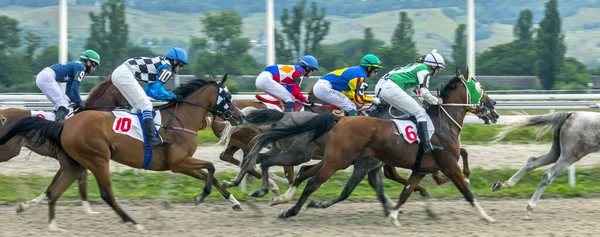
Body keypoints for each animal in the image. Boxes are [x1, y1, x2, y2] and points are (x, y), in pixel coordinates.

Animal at [0, 75, 246, 231]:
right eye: (227, 96)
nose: (240, 116)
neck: (181, 119)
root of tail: (64, 124)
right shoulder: (179, 162)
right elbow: (211, 168)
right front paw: (201, 196)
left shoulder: (181, 163)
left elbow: (210, 175)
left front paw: (234, 201)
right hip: (97, 159)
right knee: (106, 194)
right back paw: (133, 223)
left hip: (74, 163)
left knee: (55, 191)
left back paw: (53, 226)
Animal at [248, 68, 496, 226]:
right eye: (479, 86)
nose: (493, 107)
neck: (441, 125)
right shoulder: (445, 165)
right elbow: (464, 189)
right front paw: (484, 214)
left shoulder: (400, 167)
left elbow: (402, 190)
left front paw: (397, 212)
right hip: (319, 157)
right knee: (301, 176)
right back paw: (283, 204)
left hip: (329, 158)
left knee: (299, 171)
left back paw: (278, 197)